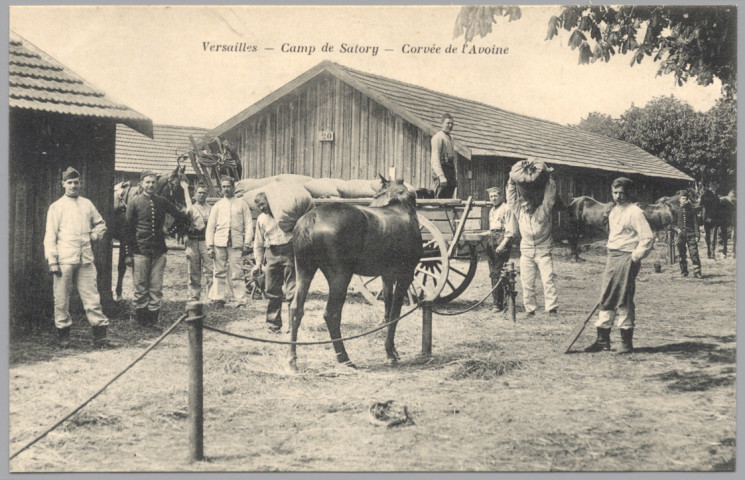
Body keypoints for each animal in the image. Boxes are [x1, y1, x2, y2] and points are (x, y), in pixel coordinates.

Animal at [112, 165, 192, 300]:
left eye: (188, 185)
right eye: (177, 186)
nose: (187, 211)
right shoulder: (124, 240)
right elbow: (122, 267)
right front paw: (118, 293)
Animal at [288, 178, 422, 370]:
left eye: (377, 194)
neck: (401, 207)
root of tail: (311, 217)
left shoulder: (387, 276)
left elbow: (387, 311)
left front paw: (392, 351)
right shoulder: (405, 274)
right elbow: (395, 314)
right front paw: (390, 353)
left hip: (304, 271)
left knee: (295, 310)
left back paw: (292, 360)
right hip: (340, 277)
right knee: (331, 314)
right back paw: (344, 358)